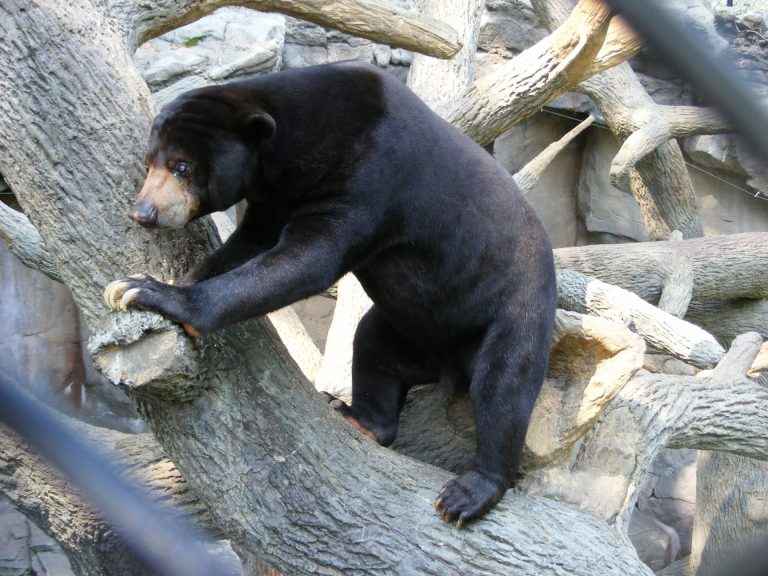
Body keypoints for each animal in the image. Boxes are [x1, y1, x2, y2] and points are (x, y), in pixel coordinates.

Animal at [105, 59, 556, 528]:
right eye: (149, 163)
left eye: (181, 167)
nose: (144, 212)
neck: (290, 153)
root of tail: (448, 362)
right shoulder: (276, 196)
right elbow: (250, 245)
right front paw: (156, 282)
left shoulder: (368, 174)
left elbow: (308, 259)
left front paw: (146, 292)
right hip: (408, 329)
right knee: (373, 347)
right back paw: (358, 418)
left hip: (511, 307)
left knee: (504, 386)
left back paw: (468, 493)